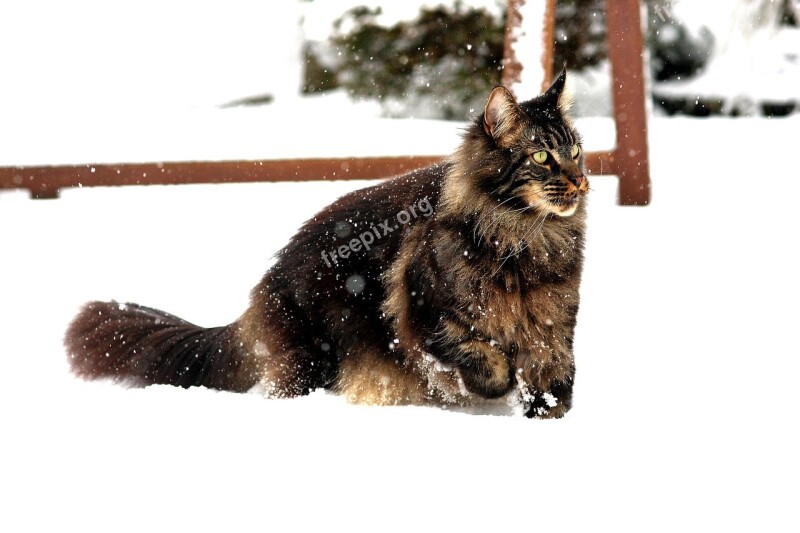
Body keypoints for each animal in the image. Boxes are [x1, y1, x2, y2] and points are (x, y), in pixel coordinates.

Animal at [65, 67, 588, 416]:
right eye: (542, 157)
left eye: (577, 150)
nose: (581, 180)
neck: (527, 240)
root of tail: (264, 284)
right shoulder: (429, 320)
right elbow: (484, 359)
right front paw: (497, 387)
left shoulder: (553, 331)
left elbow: (555, 383)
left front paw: (546, 417)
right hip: (315, 356)